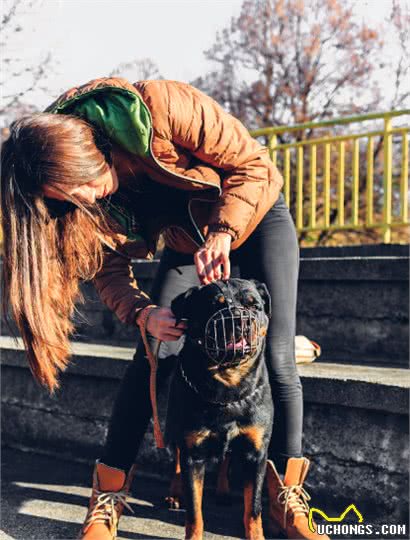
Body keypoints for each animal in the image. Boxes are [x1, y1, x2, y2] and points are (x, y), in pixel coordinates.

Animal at [165, 278, 274, 540]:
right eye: (214, 306)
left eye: (253, 305)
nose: (240, 319)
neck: (229, 385)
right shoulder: (193, 452)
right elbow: (195, 512)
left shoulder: (256, 453)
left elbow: (253, 508)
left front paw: (256, 535)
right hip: (173, 424)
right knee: (176, 460)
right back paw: (174, 493)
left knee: (227, 458)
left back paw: (223, 492)